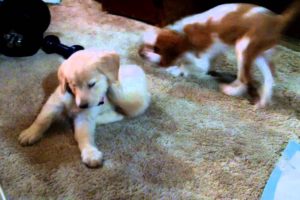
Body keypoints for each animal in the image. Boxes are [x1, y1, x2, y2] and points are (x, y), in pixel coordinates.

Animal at [17, 49, 151, 168]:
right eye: (73, 85)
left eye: (91, 84)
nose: (82, 105)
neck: (73, 99)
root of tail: (138, 68)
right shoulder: (54, 102)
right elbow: (42, 119)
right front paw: (31, 132)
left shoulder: (85, 117)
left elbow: (84, 135)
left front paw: (90, 153)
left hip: (133, 100)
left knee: (127, 105)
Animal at [141, 1, 300, 108]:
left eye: (156, 49)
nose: (141, 54)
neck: (182, 34)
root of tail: (278, 20)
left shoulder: (200, 59)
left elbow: (190, 63)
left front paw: (177, 70)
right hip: (259, 54)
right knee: (269, 77)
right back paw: (262, 100)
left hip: (243, 47)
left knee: (246, 78)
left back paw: (231, 90)